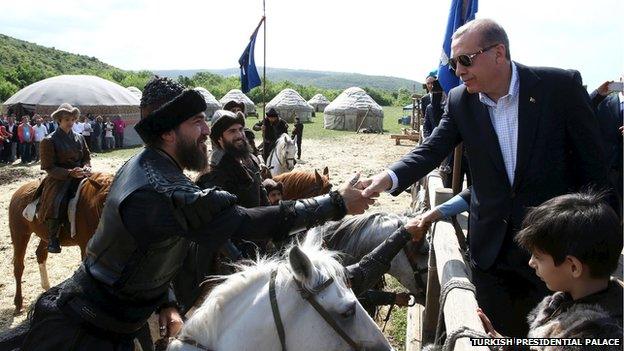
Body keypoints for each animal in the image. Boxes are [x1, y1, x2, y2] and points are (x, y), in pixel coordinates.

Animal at [8, 173, 113, 314]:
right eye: (103, 203)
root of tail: (18, 193)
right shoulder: (86, 247)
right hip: (20, 234)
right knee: (18, 266)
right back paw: (18, 303)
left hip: (45, 236)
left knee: (40, 254)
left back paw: (47, 287)